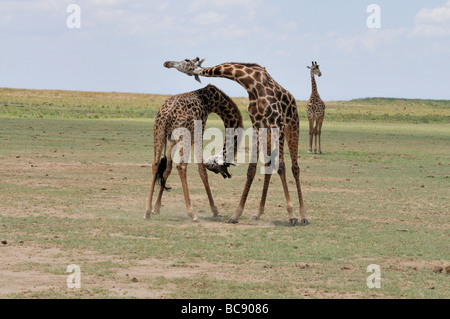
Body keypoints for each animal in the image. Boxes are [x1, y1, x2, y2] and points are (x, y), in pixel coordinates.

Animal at [145, 84, 244, 222]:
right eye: (225, 165)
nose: (227, 175)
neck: (212, 101)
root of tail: (168, 114)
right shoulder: (198, 134)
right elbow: (202, 170)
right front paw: (215, 210)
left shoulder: (172, 139)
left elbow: (167, 168)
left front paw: (157, 208)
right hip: (184, 136)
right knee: (181, 166)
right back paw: (192, 213)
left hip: (159, 132)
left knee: (155, 165)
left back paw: (147, 211)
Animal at [165, 58, 310, 228]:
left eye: (186, 61)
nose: (167, 63)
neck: (252, 84)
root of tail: (293, 99)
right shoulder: (258, 125)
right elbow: (252, 169)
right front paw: (235, 215)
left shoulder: (277, 124)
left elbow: (281, 166)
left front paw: (292, 215)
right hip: (267, 133)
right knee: (268, 165)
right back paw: (258, 213)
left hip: (292, 126)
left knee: (295, 168)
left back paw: (303, 216)